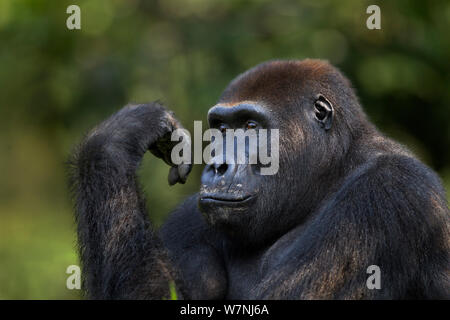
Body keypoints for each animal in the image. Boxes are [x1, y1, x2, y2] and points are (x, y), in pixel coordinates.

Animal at [68, 58, 448, 298]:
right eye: (221, 129)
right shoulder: (188, 218)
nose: (217, 166)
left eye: (251, 126)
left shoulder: (388, 190)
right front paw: (112, 142)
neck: (334, 172)